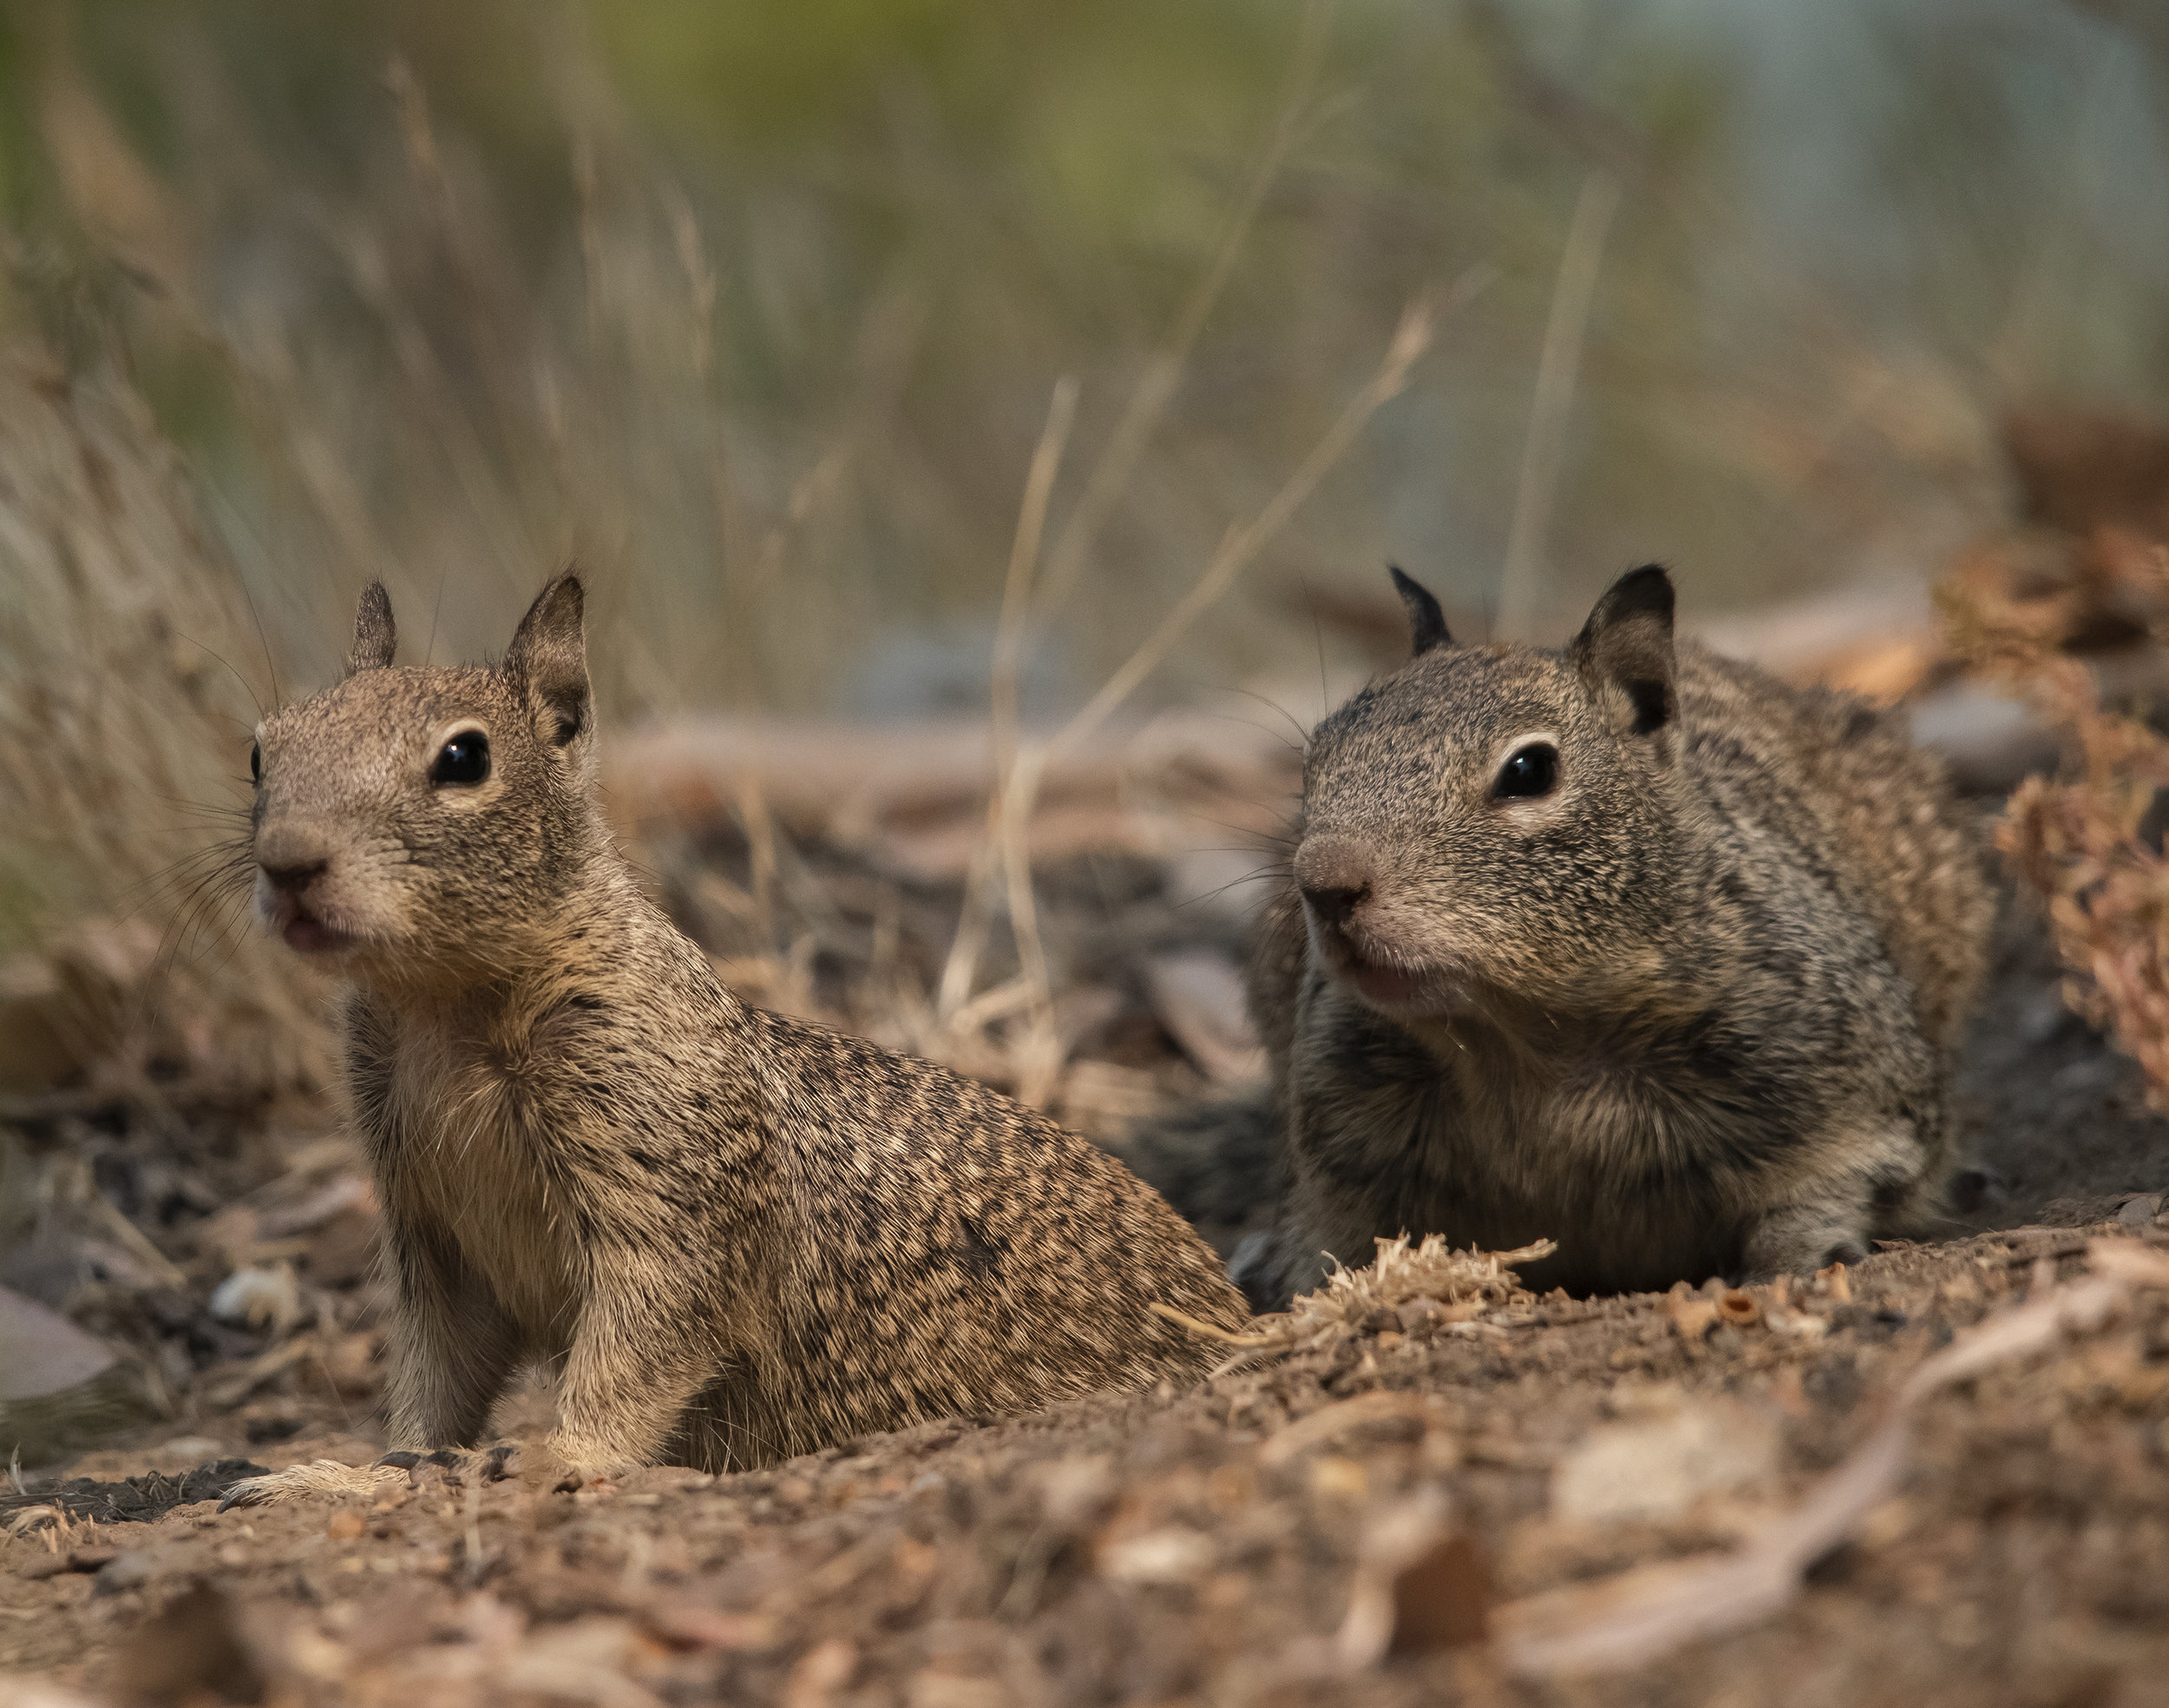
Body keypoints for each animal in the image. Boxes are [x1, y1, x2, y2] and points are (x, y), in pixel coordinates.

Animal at [224, 576, 1241, 1491]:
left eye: (465, 757)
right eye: (261, 751)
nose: (288, 864)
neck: (440, 1009)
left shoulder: (666, 1190)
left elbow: (643, 1342)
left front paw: (561, 1454)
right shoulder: (435, 1235)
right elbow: (436, 1377)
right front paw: (359, 1472)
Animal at [1145, 563, 1987, 1309]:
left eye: (1529, 770)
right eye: (1316, 757)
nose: (1323, 884)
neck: (1530, 1046)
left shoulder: (1841, 1067)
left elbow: (1839, 1176)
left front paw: (1796, 1257)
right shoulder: (1339, 1131)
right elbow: (1332, 1232)